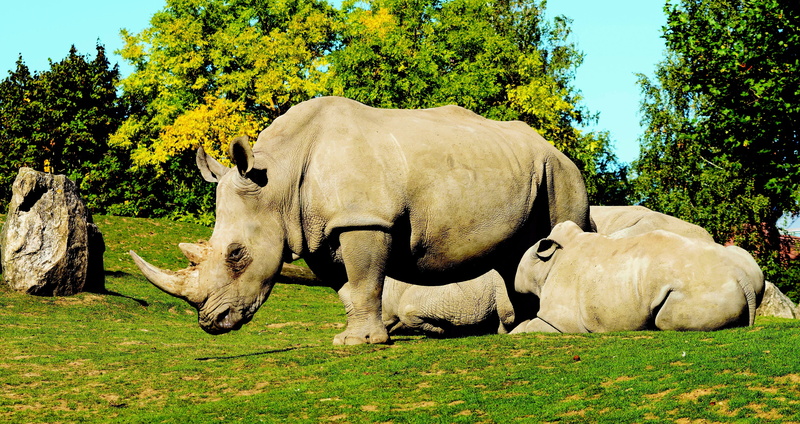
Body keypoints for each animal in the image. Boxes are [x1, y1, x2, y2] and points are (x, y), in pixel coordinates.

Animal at [130, 96, 591, 345]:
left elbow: (367, 279)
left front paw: (365, 343)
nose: (211, 323)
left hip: (562, 172)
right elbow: (349, 289)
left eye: (237, 254)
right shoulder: (319, 230)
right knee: (515, 257)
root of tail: (553, 146)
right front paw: (349, 340)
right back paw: (516, 331)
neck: (278, 178)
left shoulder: (364, 220)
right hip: (528, 168)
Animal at [511, 221, 765, 333]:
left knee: (666, 321)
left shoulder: (558, 321)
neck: (550, 262)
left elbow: (526, 329)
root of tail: (741, 278)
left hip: (703, 288)